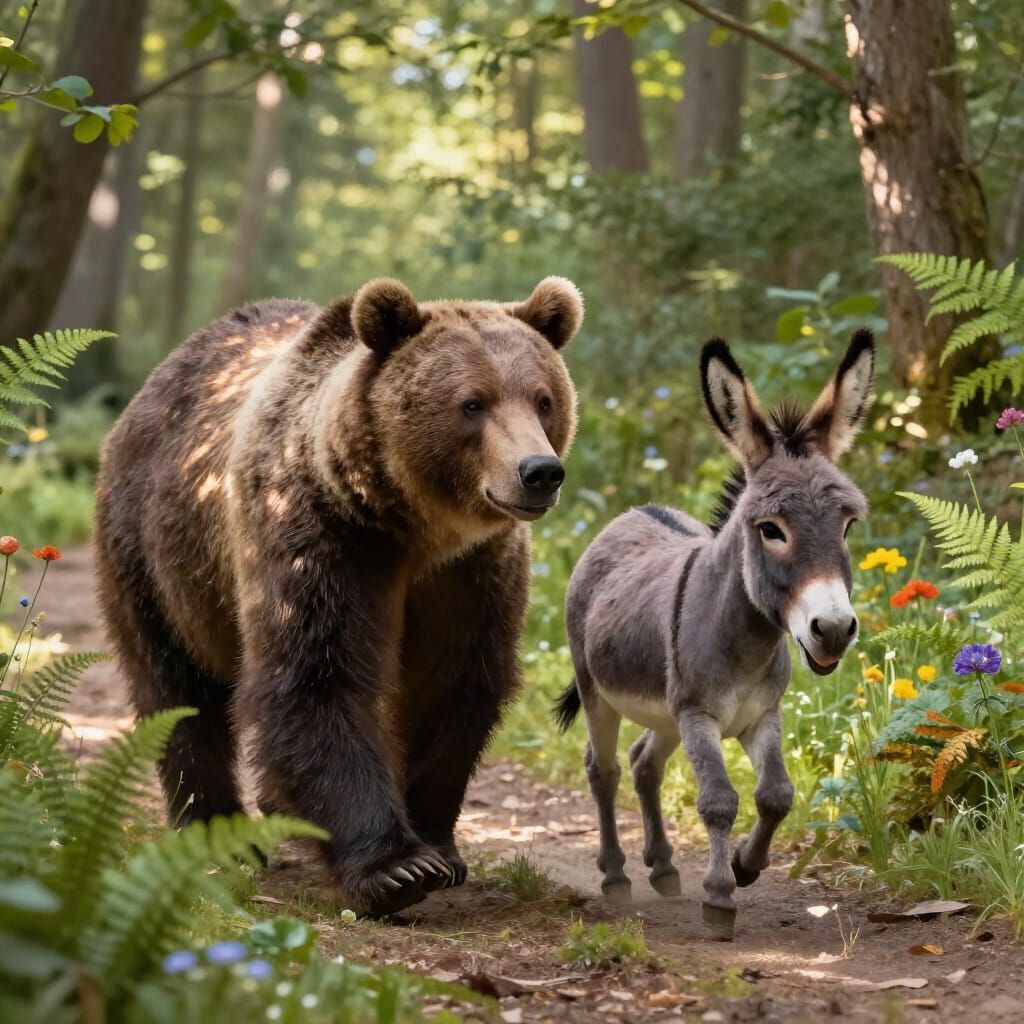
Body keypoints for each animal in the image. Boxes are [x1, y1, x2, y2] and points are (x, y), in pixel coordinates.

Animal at [94, 276, 582, 914]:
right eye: (472, 403)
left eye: (543, 398)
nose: (539, 471)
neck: (414, 530)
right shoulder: (320, 533)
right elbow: (316, 675)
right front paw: (397, 868)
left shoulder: (471, 573)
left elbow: (452, 685)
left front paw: (437, 847)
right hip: (156, 557)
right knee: (174, 689)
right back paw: (216, 832)